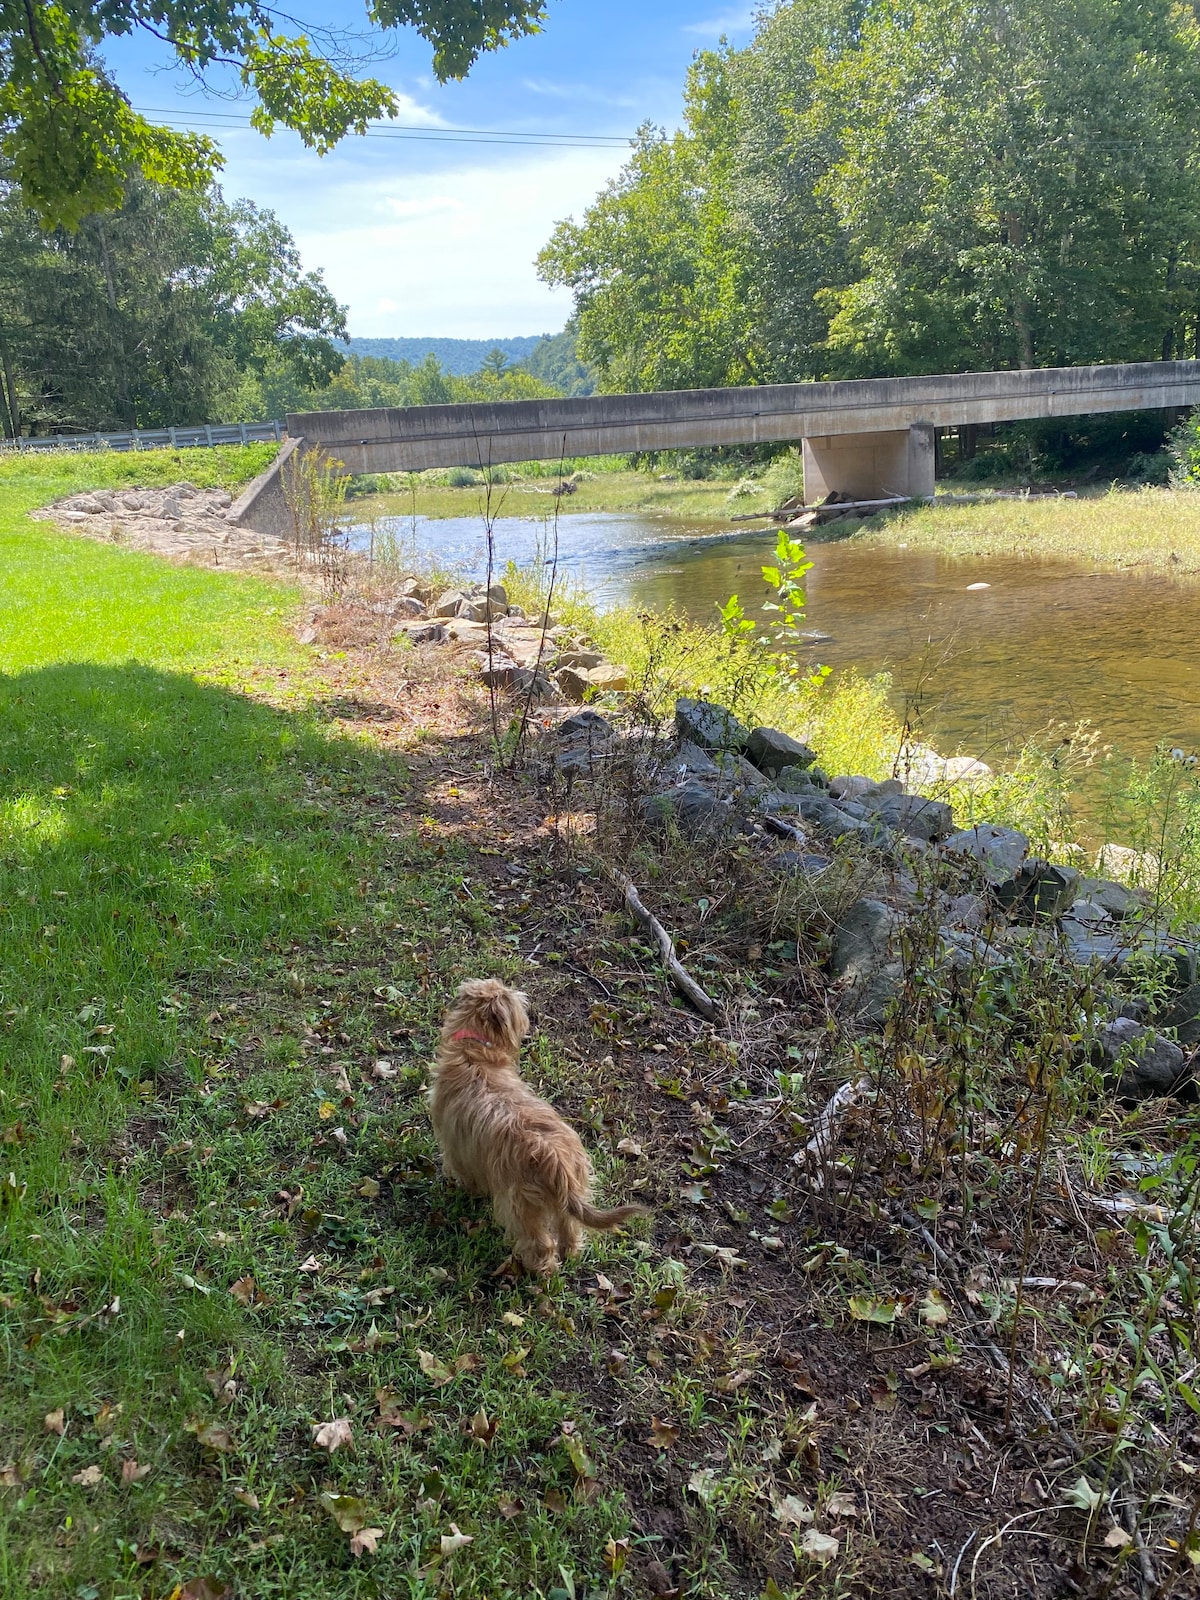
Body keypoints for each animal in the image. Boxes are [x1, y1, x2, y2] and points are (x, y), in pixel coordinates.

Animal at [432, 972, 652, 1273]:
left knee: (541, 1243)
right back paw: (570, 1254)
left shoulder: (457, 1148)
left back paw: (541, 1271)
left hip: (521, 1205)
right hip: (570, 1194)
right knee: (569, 1228)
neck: (475, 1052)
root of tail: (555, 1160)